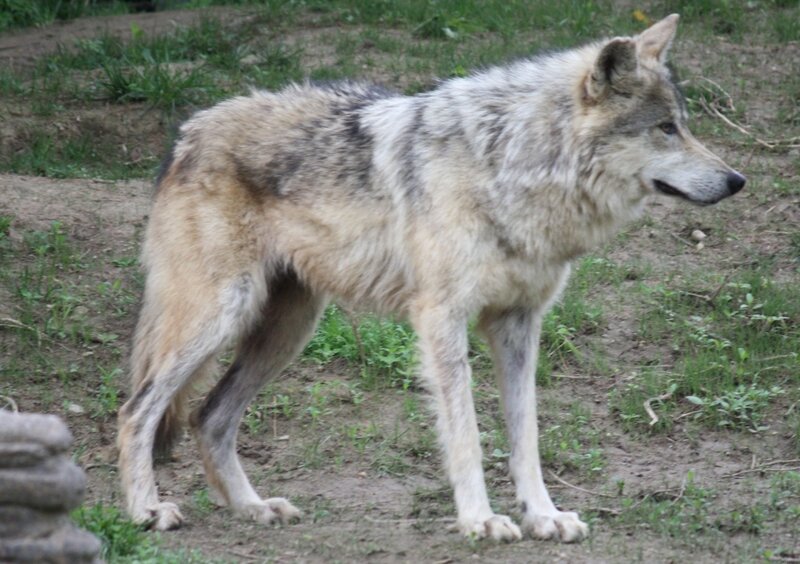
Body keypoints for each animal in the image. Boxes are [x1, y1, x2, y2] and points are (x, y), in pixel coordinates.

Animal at [117, 14, 744, 543]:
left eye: (684, 126)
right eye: (665, 128)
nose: (736, 180)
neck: (512, 166)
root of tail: (187, 131)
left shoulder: (519, 325)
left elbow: (526, 437)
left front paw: (543, 516)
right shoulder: (441, 319)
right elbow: (466, 435)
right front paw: (481, 520)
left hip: (285, 333)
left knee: (209, 417)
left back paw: (253, 508)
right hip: (220, 316)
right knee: (136, 410)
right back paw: (146, 510)